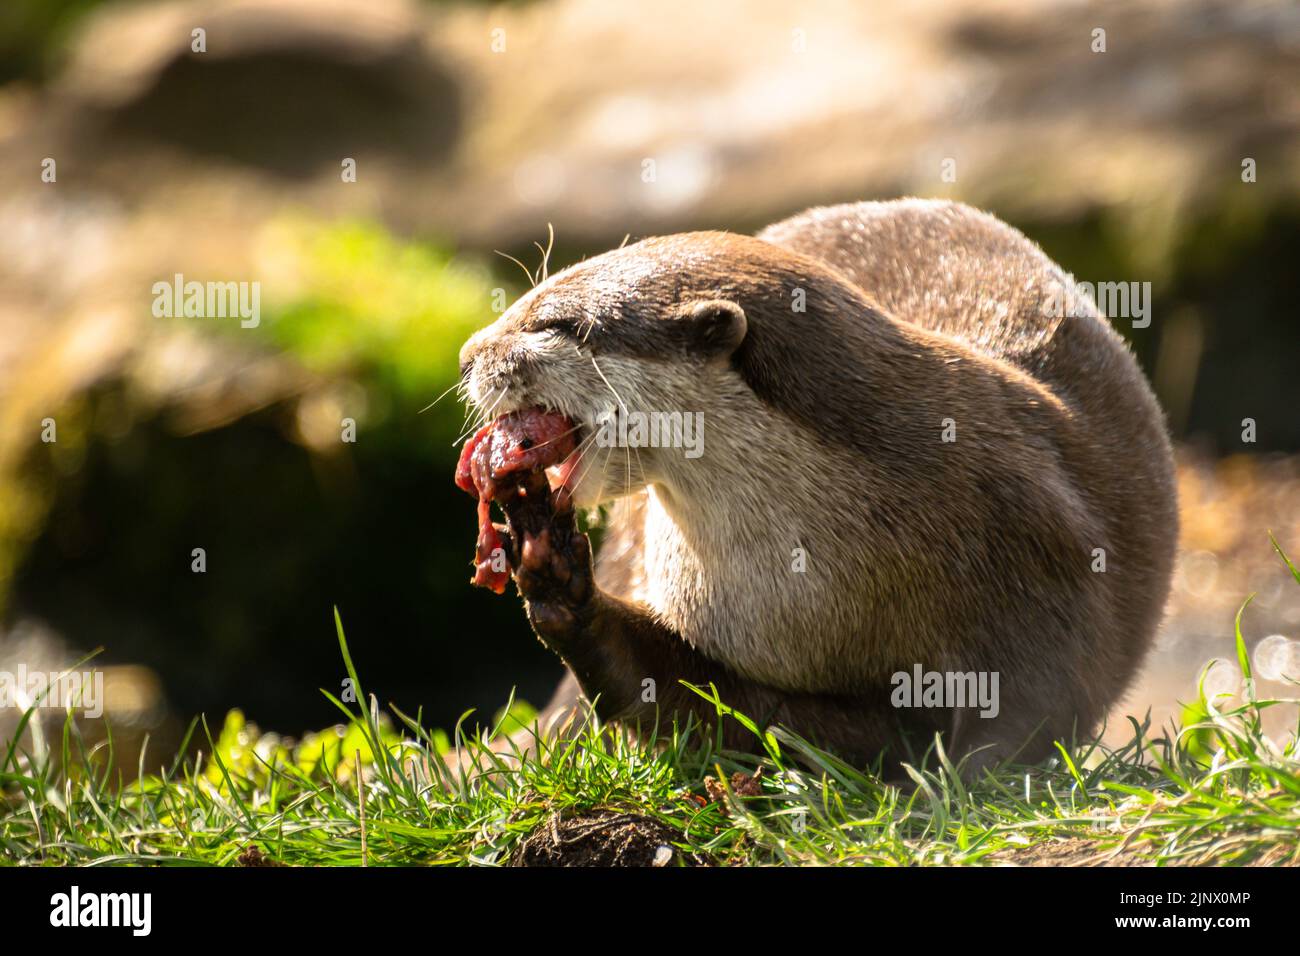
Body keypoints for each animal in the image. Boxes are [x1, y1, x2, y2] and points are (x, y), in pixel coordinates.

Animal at [456, 199, 1178, 770]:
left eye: (559, 323)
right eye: (530, 298)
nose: (467, 354)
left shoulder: (1039, 548)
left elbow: (1034, 705)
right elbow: (697, 698)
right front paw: (554, 575)